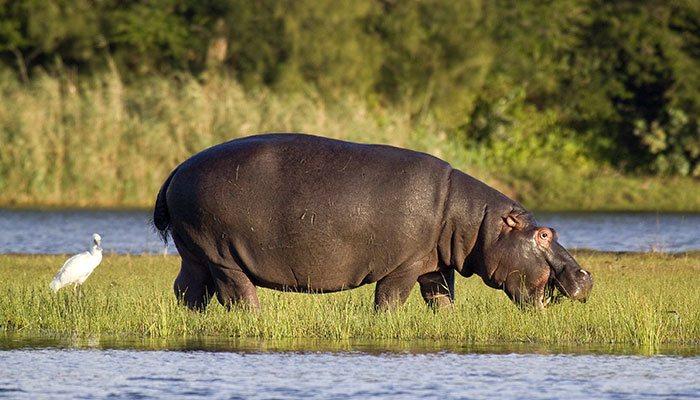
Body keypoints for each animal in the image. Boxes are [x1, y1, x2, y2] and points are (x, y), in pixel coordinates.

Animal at [153, 133, 592, 311]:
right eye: (544, 234)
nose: (586, 276)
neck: (474, 222)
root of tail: (176, 170)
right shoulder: (403, 266)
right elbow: (389, 301)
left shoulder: (434, 266)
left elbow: (442, 300)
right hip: (222, 254)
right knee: (238, 295)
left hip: (194, 251)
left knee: (188, 290)